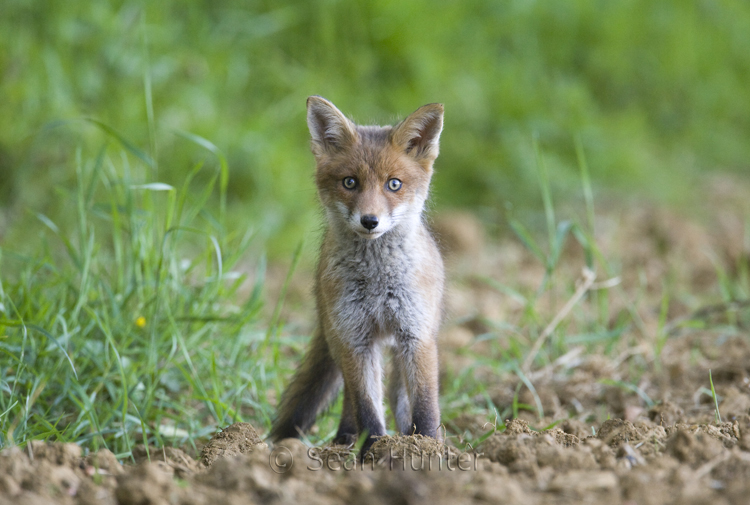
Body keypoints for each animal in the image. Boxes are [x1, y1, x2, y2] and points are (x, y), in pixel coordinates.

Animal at [272, 95, 446, 452]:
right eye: (350, 182)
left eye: (393, 184)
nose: (370, 221)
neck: (377, 282)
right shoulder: (355, 338)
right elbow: (366, 405)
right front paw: (374, 451)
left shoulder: (415, 335)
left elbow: (425, 403)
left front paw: (428, 445)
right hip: (341, 339)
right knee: (352, 399)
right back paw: (345, 439)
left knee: (398, 396)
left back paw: (406, 434)